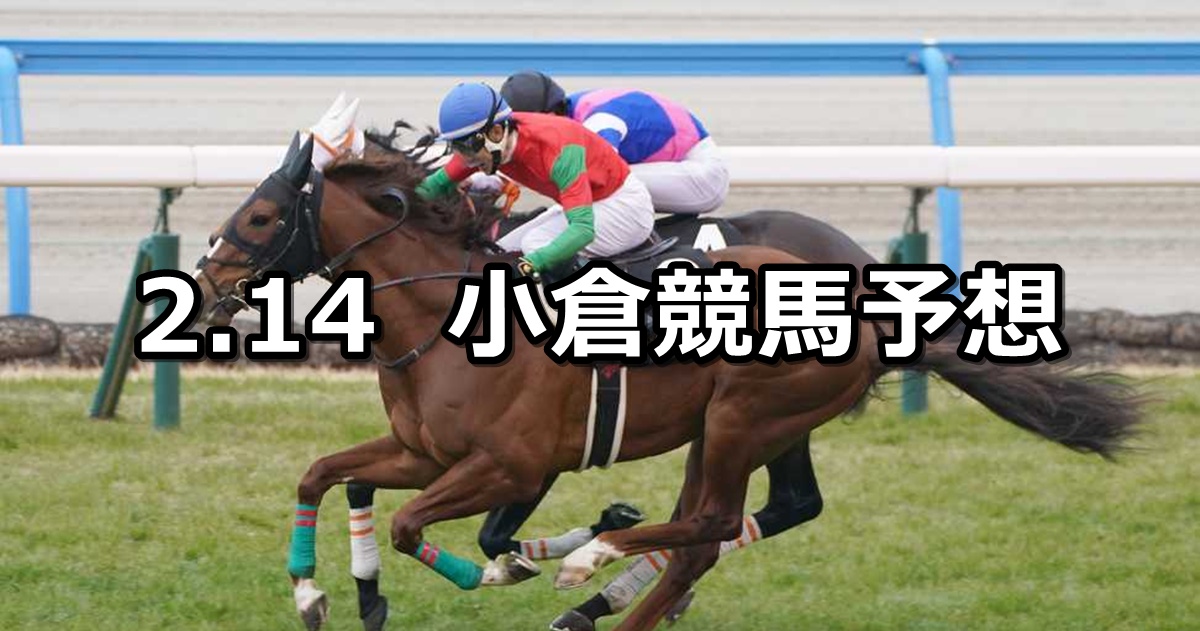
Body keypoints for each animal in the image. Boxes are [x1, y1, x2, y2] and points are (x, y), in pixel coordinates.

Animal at [194, 132, 1142, 631]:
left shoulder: (511, 463)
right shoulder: (422, 449)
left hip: (743, 420)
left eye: (263, 214)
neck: (445, 316)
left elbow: (419, 525)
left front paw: (509, 567)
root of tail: (873, 304)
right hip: (732, 427)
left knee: (713, 523)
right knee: (714, 531)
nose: (202, 286)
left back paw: (598, 567)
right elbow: (325, 473)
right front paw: (318, 590)